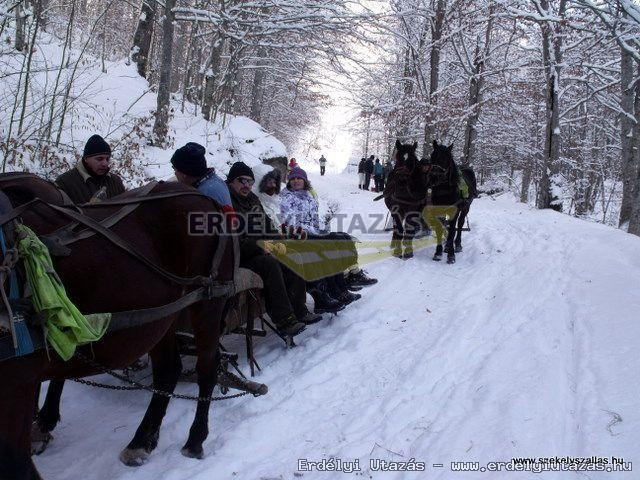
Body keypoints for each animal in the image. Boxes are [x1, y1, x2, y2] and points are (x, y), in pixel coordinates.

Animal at [0, 173, 236, 480]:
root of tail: (204, 197)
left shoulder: (17, 384)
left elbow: (17, 464)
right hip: (161, 316)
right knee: (168, 369)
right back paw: (142, 441)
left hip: (207, 301)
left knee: (207, 367)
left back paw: (195, 440)